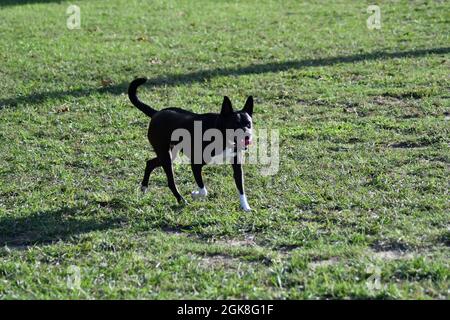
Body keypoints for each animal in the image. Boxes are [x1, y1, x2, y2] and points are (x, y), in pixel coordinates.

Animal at [127, 78, 253, 210]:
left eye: (249, 124)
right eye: (235, 125)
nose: (247, 136)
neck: (221, 133)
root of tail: (156, 113)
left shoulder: (237, 166)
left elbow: (241, 188)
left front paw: (245, 207)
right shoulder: (196, 164)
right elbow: (203, 191)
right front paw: (194, 194)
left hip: (170, 154)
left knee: (150, 163)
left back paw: (144, 186)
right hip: (166, 156)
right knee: (170, 181)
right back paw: (181, 200)